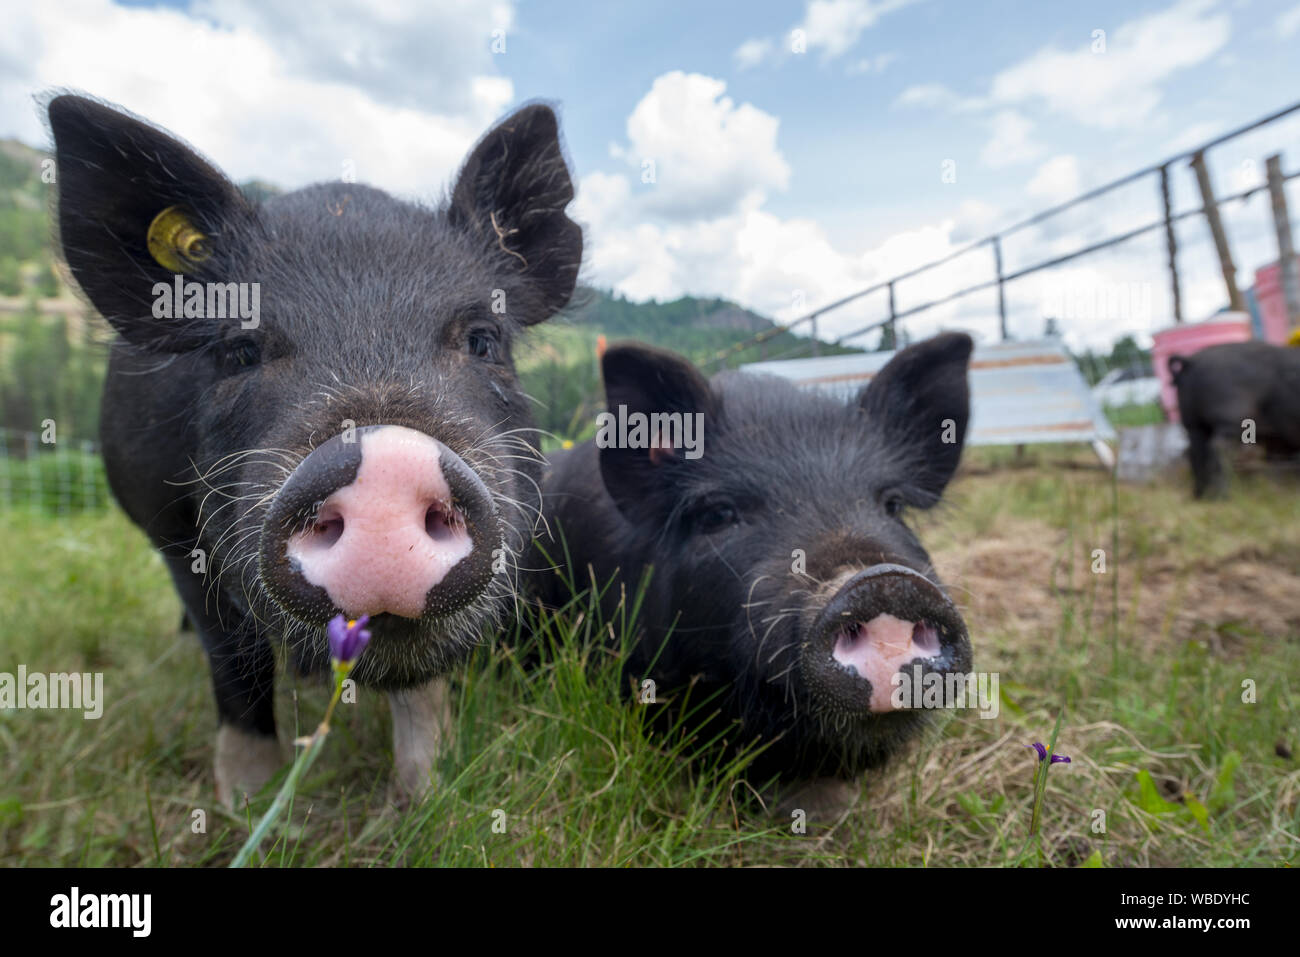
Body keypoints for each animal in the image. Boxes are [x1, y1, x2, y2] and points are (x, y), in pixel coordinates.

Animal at [48, 91, 582, 806]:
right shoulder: (170, 532)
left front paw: (426, 793)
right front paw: (246, 802)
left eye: (483, 339)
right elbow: (234, 657)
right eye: (239, 351)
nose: (387, 462)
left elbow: (422, 691)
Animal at [1170, 340, 1300, 496]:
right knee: (1219, 448)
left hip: (1192, 423)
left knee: (1195, 451)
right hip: (1230, 419)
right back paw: (1222, 496)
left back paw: (1199, 495)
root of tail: (1192, 361)